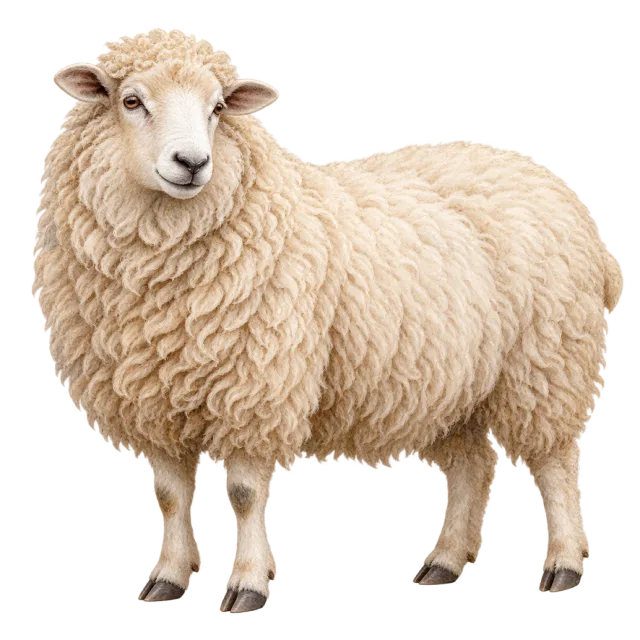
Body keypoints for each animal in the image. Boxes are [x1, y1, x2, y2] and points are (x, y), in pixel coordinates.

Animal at [33, 26, 625, 611]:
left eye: (218, 107)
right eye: (131, 101)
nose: (193, 162)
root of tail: (558, 189)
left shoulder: (257, 391)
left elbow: (244, 493)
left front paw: (247, 585)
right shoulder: (154, 400)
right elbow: (170, 496)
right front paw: (167, 580)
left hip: (547, 364)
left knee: (557, 466)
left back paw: (563, 566)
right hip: (463, 385)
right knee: (470, 469)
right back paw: (443, 564)